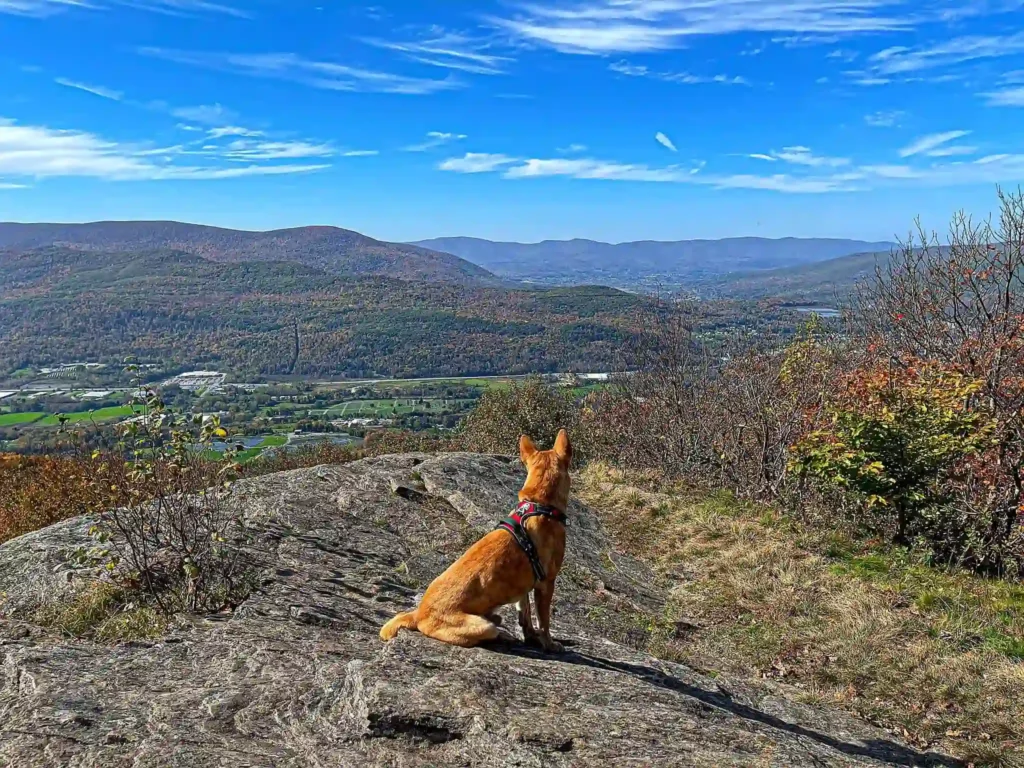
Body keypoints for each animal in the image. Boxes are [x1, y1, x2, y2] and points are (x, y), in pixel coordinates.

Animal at [380, 430, 573, 651]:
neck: (539, 503)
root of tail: (418, 614)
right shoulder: (546, 584)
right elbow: (544, 621)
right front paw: (549, 644)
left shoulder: (525, 585)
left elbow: (525, 614)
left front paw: (531, 636)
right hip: (481, 626)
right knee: (489, 633)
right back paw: (503, 634)